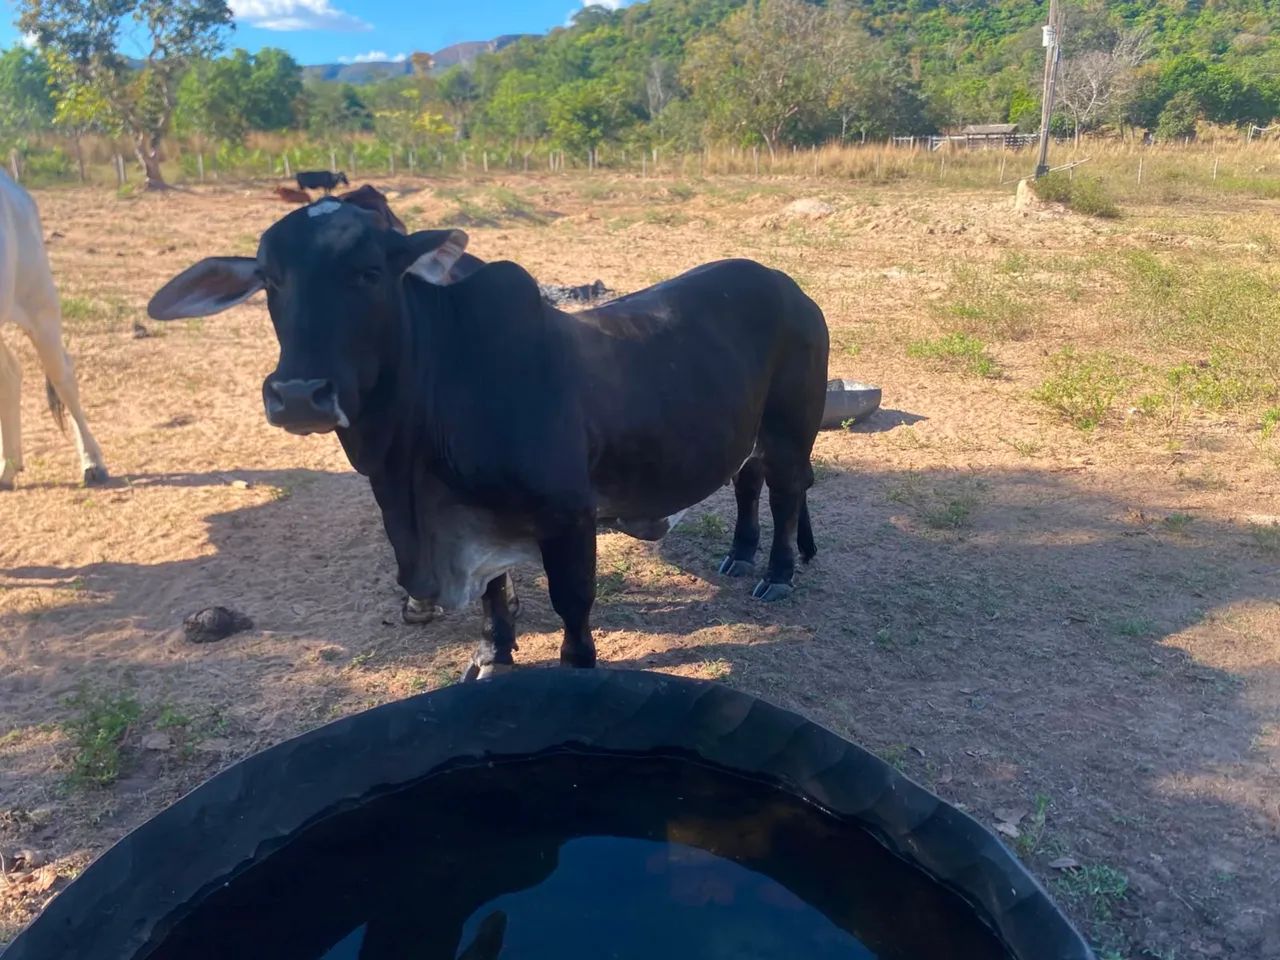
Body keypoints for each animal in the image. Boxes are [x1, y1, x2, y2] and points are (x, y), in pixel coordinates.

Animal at [146, 199, 828, 679]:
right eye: (269, 280)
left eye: (369, 272)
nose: (296, 395)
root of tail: (788, 285)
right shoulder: (472, 520)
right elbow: (493, 595)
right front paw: (494, 654)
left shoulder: (569, 516)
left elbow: (571, 601)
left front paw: (575, 665)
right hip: (751, 432)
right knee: (749, 480)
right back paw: (740, 553)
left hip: (792, 426)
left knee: (788, 490)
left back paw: (777, 572)